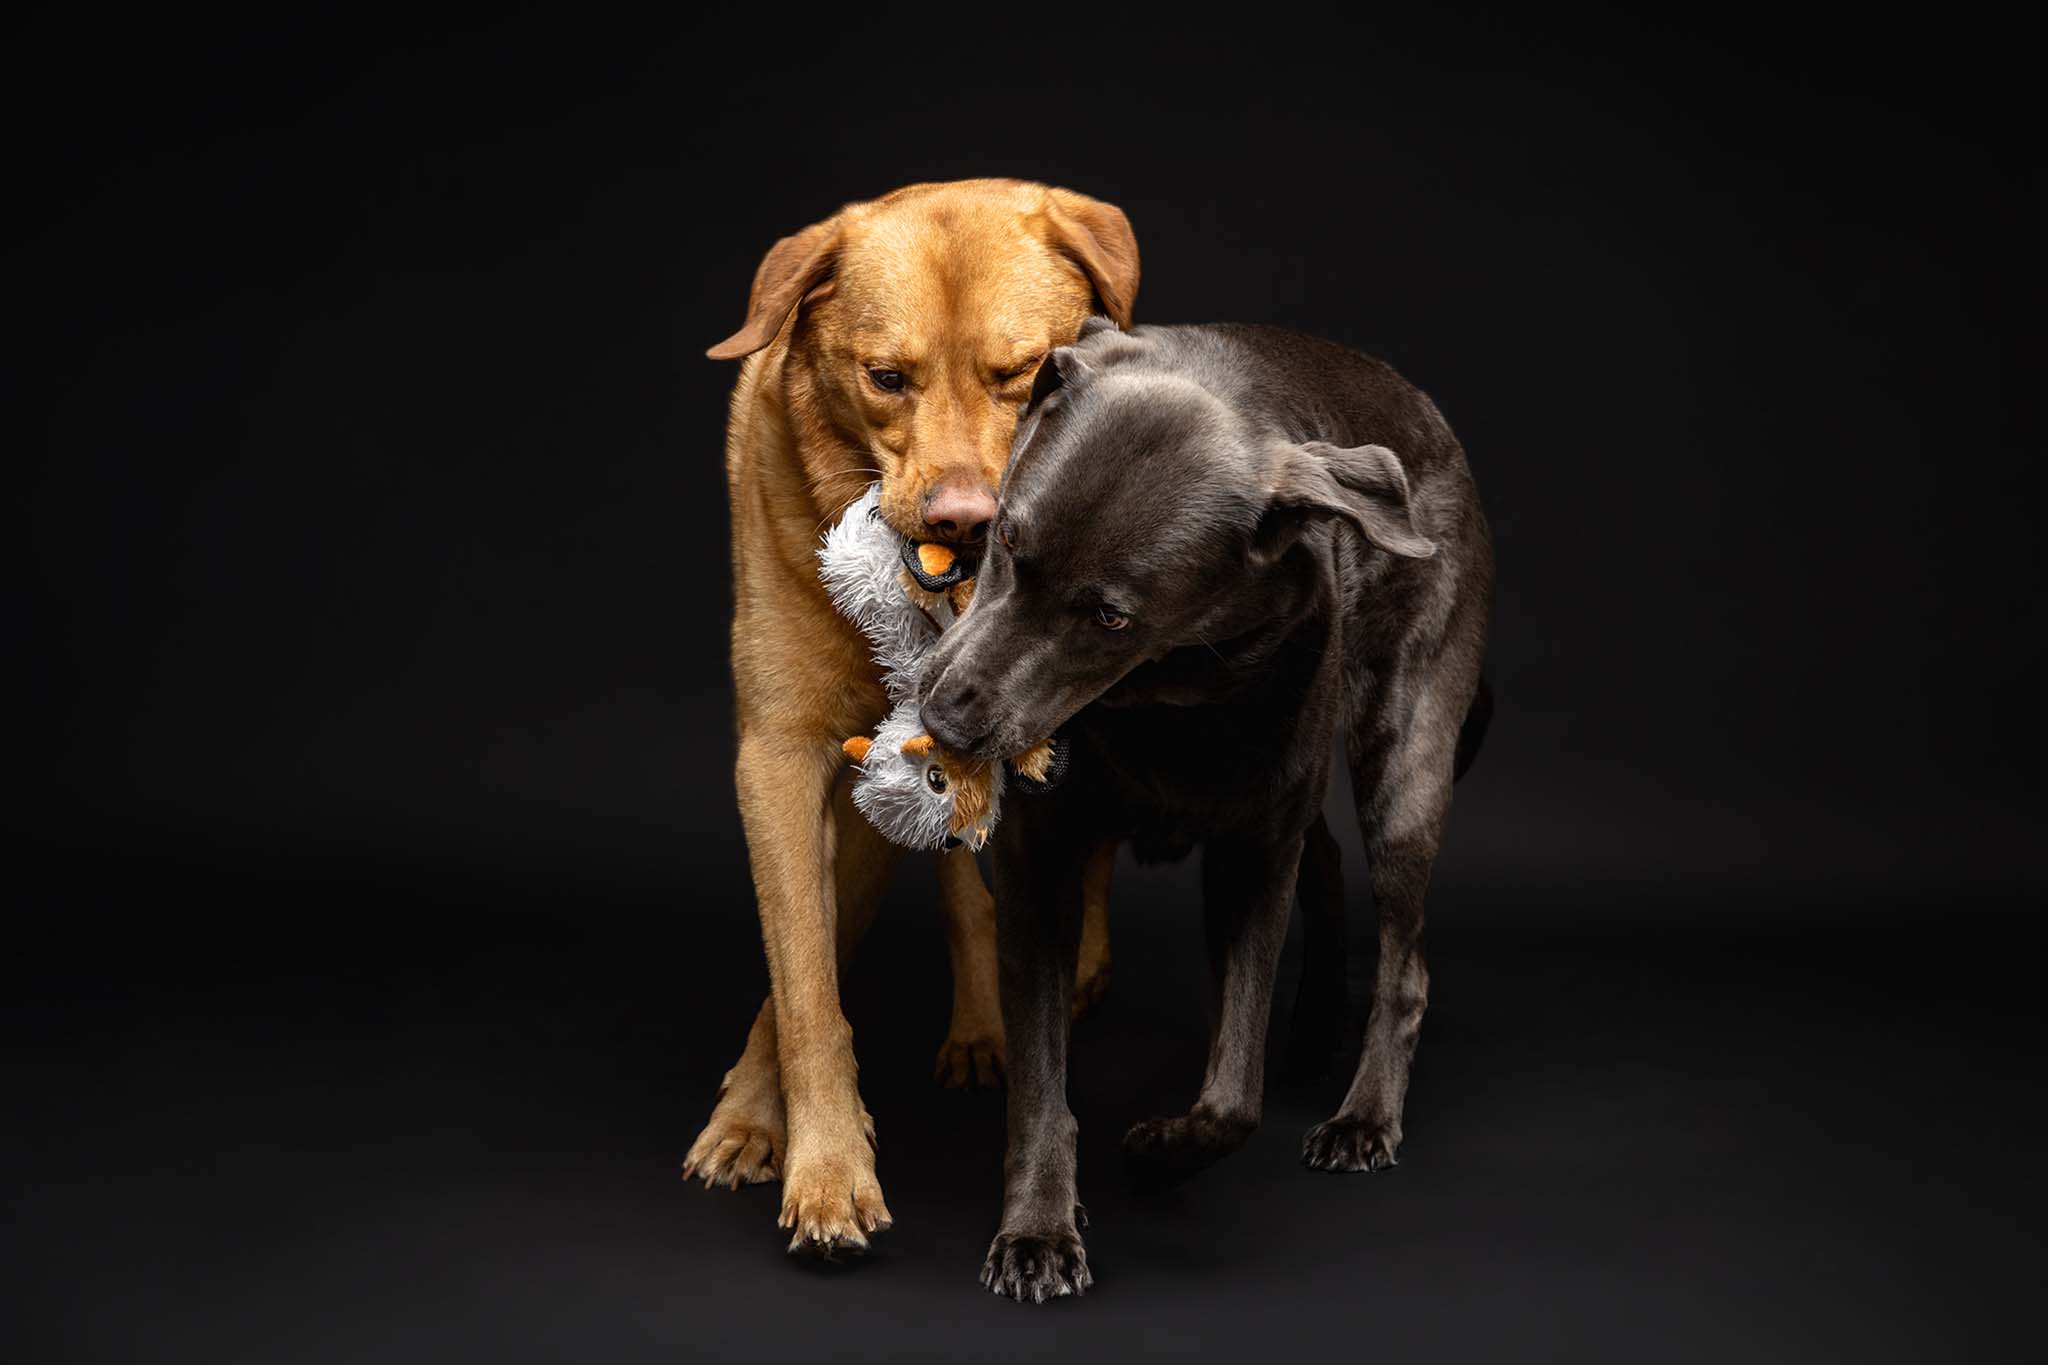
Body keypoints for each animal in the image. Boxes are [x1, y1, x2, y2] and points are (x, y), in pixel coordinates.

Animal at [685, 180, 1138, 1254]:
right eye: (886, 378)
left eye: (1023, 374)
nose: (963, 524)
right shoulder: (782, 757)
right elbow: (803, 982)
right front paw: (807, 1152)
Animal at [919, 319, 1493, 1300]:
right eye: (1007, 545)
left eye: (1110, 618)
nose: (946, 718)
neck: (1167, 695)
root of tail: (1429, 418)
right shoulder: (1043, 864)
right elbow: (1040, 1077)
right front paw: (1039, 1227)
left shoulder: (1250, 861)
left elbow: (1234, 1093)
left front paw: (1156, 1155)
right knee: (1325, 857)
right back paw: (1311, 1027)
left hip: (1403, 765)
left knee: (1405, 962)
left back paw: (1364, 1113)